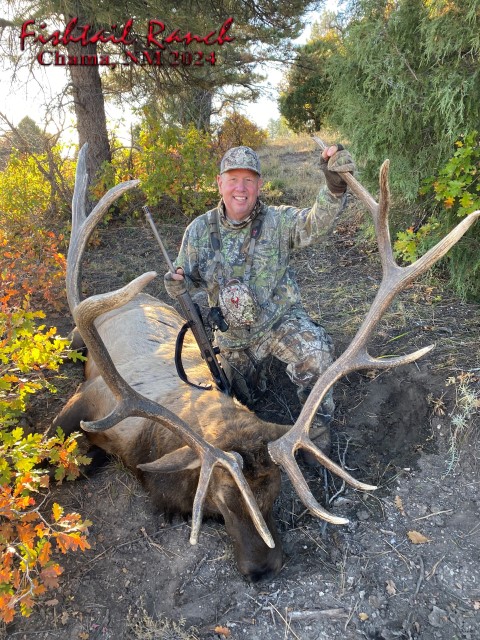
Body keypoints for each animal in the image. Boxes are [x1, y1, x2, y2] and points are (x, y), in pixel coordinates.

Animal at [54, 143, 479, 582]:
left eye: (275, 491)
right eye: (222, 499)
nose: (264, 568)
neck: (152, 444)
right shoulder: (90, 397)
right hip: (79, 337)